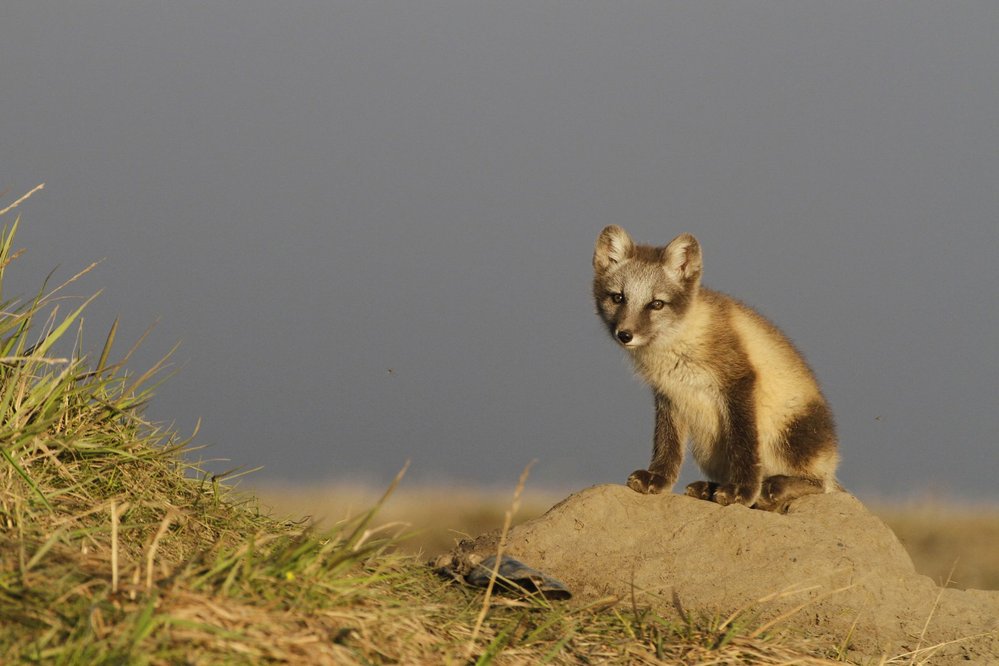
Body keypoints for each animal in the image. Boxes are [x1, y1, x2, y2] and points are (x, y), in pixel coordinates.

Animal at [596, 226, 840, 510]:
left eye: (656, 304)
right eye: (618, 298)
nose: (625, 335)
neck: (678, 342)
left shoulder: (738, 379)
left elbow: (743, 445)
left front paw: (742, 491)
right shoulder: (670, 393)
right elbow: (667, 443)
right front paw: (658, 478)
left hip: (791, 435)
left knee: (820, 485)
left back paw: (772, 488)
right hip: (707, 448)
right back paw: (708, 488)